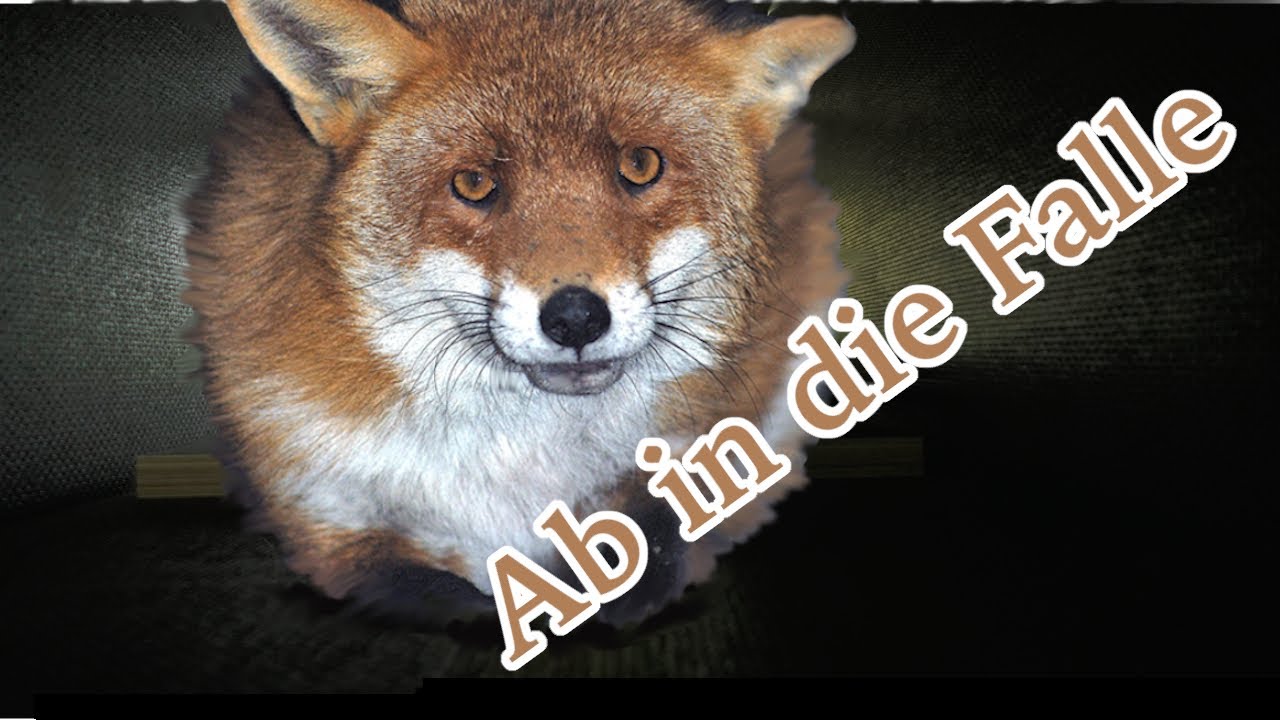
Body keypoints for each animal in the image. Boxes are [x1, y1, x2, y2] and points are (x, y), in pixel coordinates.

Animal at [185, 0, 855, 625]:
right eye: (475, 183)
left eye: (640, 165)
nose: (577, 319)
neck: (515, 468)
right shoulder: (331, 524)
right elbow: (446, 599)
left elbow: (649, 553)